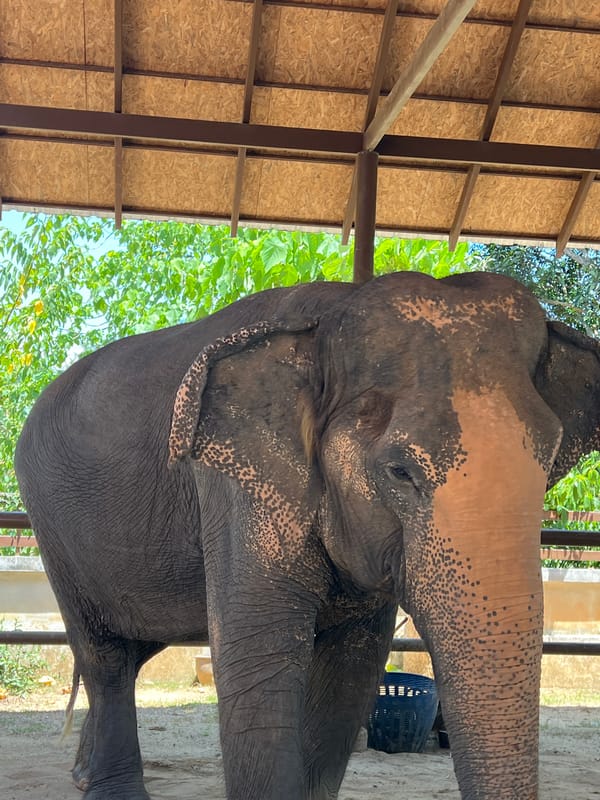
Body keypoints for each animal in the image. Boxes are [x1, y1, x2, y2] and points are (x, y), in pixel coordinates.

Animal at [14, 270, 600, 800]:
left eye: (550, 458)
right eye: (399, 472)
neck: (327, 320)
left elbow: (350, 675)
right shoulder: (239, 485)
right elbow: (258, 667)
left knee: (133, 648)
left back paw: (82, 774)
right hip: (52, 525)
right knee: (105, 656)